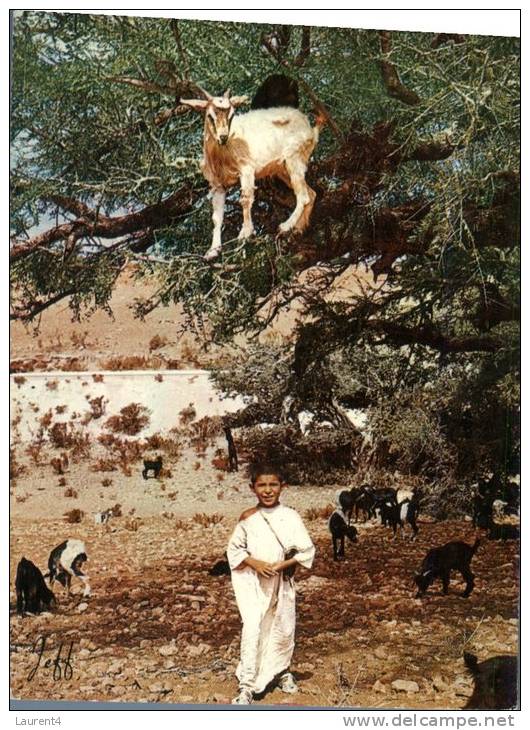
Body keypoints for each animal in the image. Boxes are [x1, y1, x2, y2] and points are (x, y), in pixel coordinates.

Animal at [179, 88, 320, 258]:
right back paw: (298, 229)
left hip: (294, 157)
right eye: (210, 116)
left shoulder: (246, 170)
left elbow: (245, 200)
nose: (223, 137)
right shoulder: (217, 185)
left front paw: (245, 233)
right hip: (283, 169)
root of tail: (310, 130)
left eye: (232, 115)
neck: (223, 154)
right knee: (311, 193)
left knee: (303, 196)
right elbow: (216, 217)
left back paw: (286, 226)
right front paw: (212, 251)